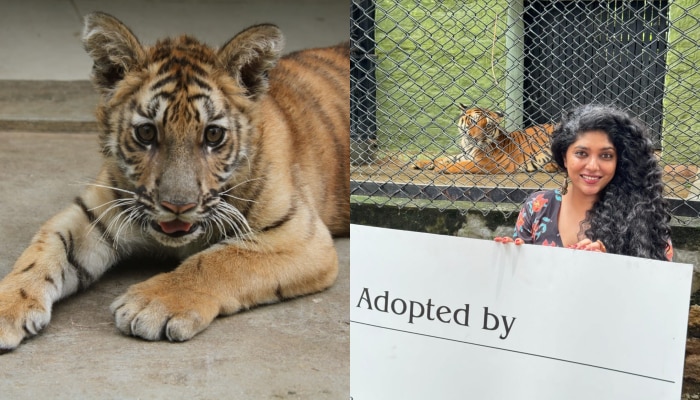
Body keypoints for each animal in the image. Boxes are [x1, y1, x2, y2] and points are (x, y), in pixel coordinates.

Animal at [0, 11, 350, 350]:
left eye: (213, 135)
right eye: (146, 132)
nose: (177, 206)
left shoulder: (298, 235)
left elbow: (218, 260)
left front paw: (151, 305)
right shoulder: (91, 214)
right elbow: (41, 255)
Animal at [416, 105, 556, 174]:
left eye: (488, 126)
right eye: (473, 121)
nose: (475, 138)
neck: (468, 145)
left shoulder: (491, 163)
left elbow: (463, 165)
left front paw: (442, 167)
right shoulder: (467, 154)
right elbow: (445, 158)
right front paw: (421, 163)